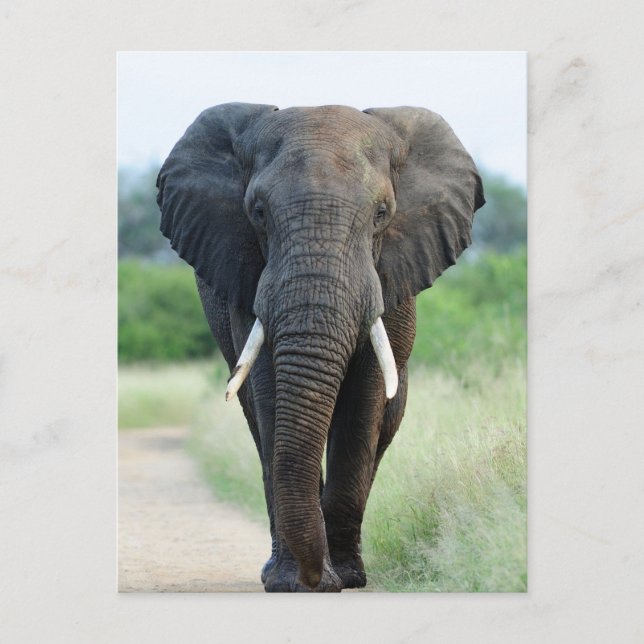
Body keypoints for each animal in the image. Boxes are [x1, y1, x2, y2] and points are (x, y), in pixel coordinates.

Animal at [156, 102, 484, 592]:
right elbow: (270, 388)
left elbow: (364, 400)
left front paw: (344, 577)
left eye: (382, 213)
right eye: (257, 212)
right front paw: (294, 582)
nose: (316, 579)